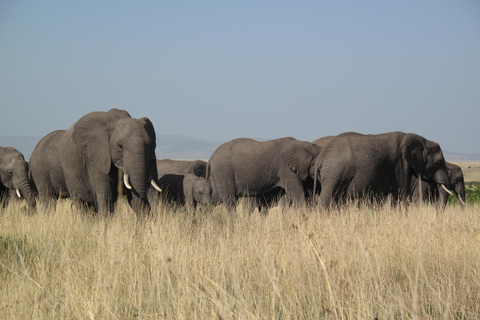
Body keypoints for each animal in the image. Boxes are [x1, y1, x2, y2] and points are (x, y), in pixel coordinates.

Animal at [30, 109, 161, 216]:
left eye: (151, 146)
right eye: (120, 146)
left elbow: (134, 198)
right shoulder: (96, 158)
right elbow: (104, 195)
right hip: (41, 170)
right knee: (56, 200)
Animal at [316, 131, 454, 209]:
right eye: (438, 163)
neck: (422, 140)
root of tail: (321, 157)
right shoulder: (401, 163)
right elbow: (402, 195)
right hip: (335, 174)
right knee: (326, 199)